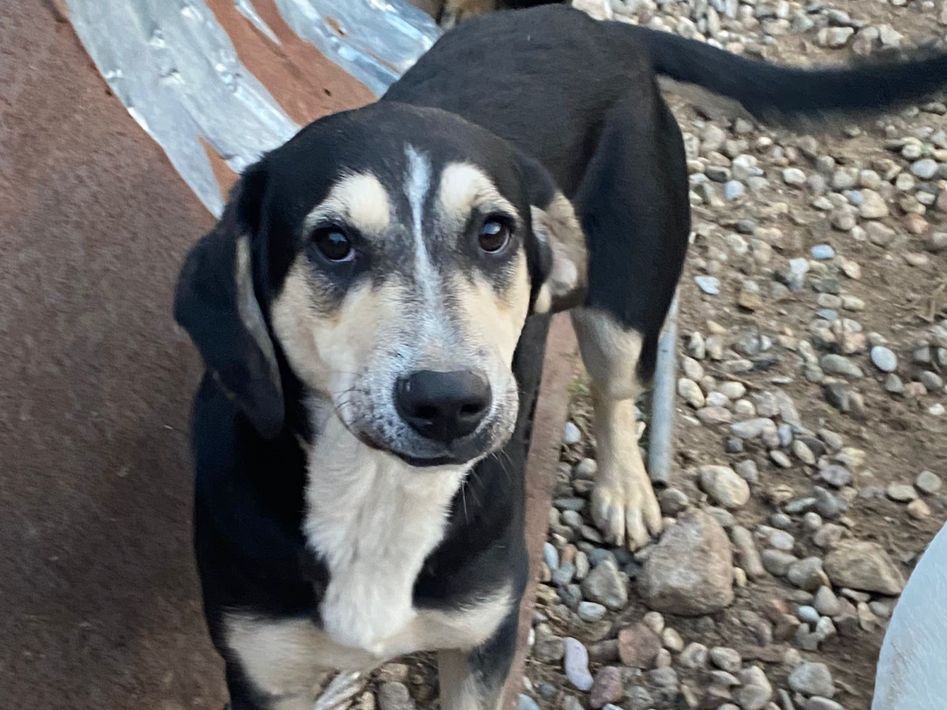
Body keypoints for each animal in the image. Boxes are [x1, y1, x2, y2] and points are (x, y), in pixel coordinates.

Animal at [175, 6, 947, 709]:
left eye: (493, 233)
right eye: (333, 243)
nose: (449, 402)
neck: (379, 492)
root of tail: (597, 26)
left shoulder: (484, 639)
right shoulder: (264, 673)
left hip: (624, 296)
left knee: (616, 389)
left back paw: (624, 487)